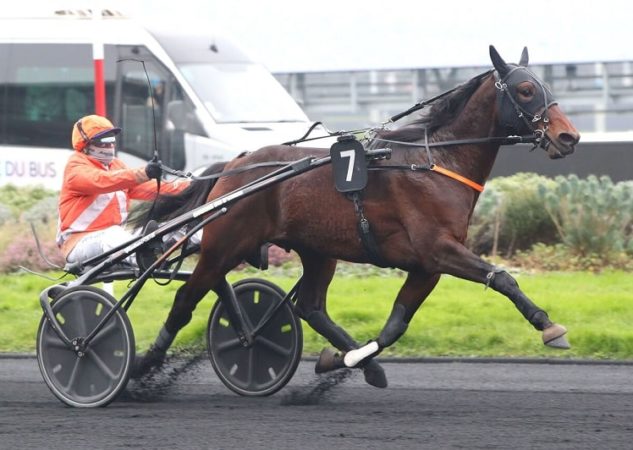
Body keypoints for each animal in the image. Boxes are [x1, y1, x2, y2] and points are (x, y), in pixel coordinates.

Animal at [133, 47, 576, 388]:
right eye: (525, 90)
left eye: (547, 88)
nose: (569, 136)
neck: (435, 162)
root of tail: (236, 163)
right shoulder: (438, 249)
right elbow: (501, 277)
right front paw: (548, 326)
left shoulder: (427, 266)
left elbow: (396, 324)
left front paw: (347, 360)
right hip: (223, 245)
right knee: (186, 299)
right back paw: (142, 364)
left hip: (316, 251)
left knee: (310, 306)